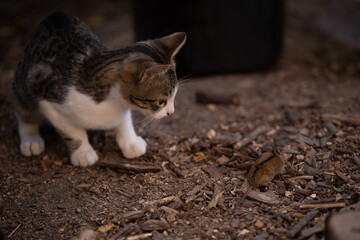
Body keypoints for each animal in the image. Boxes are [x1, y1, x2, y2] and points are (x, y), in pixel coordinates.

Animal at [11, 11, 186, 167]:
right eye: (162, 101)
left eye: (175, 96)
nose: (171, 112)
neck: (111, 102)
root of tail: (55, 15)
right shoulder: (47, 97)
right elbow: (71, 131)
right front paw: (83, 152)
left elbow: (123, 119)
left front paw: (129, 142)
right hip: (24, 80)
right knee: (23, 109)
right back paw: (31, 139)